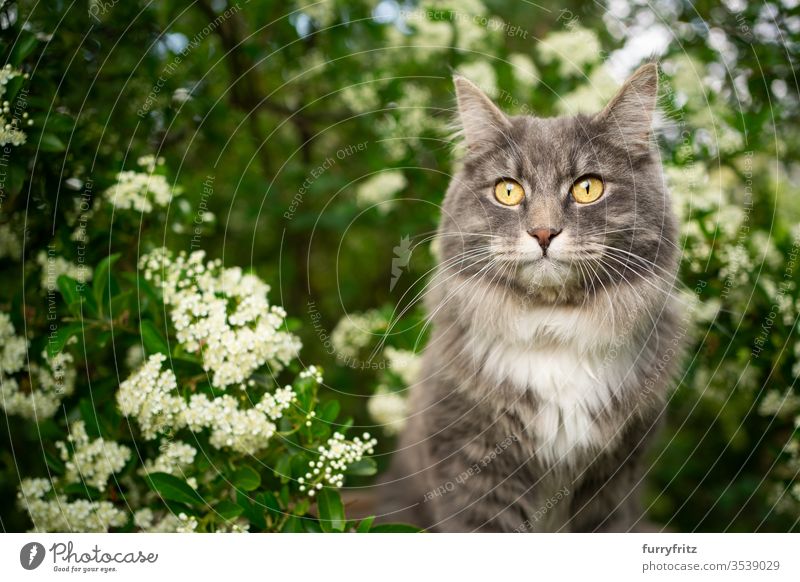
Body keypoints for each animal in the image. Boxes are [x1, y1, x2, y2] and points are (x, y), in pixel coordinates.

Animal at [378, 64, 684, 532]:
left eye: (587, 188)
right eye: (508, 191)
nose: (543, 232)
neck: (553, 328)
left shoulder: (615, 480)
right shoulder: (472, 468)